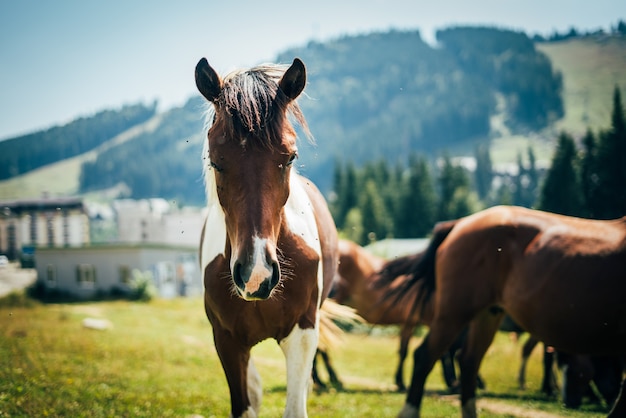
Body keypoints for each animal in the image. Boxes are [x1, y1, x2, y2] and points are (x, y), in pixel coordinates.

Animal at [195, 58, 336, 418]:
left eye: (290, 157)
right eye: (215, 160)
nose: (255, 274)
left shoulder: (302, 334)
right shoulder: (227, 342)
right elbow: (246, 403)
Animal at [376, 206, 624, 418]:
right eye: (573, 373)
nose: (570, 402)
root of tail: (459, 224)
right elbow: (545, 357)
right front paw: (548, 387)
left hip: (486, 315)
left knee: (466, 359)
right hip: (455, 313)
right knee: (427, 355)